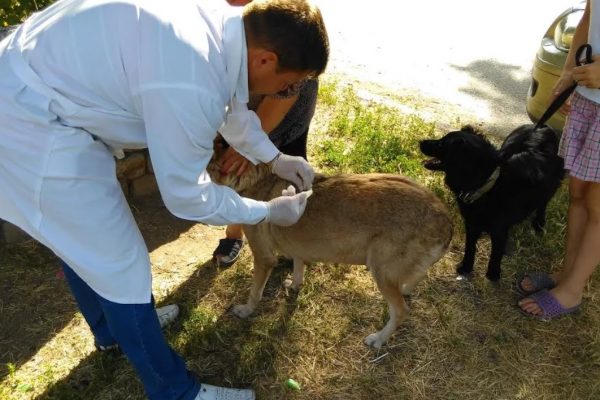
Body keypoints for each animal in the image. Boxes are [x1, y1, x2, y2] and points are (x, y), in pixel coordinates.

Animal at [209, 159, 452, 346]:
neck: (257, 178)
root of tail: (444, 218)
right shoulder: (298, 246)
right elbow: (298, 267)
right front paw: (295, 285)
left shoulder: (264, 258)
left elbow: (255, 292)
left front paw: (246, 310)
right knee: (415, 280)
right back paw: (407, 289)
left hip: (380, 271)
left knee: (401, 311)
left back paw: (379, 339)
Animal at [420, 125, 564, 282]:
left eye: (441, 144)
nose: (420, 142)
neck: (487, 185)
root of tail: (541, 126)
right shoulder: (472, 223)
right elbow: (470, 247)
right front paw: (466, 267)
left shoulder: (498, 229)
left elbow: (495, 252)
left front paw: (493, 274)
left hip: (551, 187)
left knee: (542, 204)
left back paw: (539, 224)